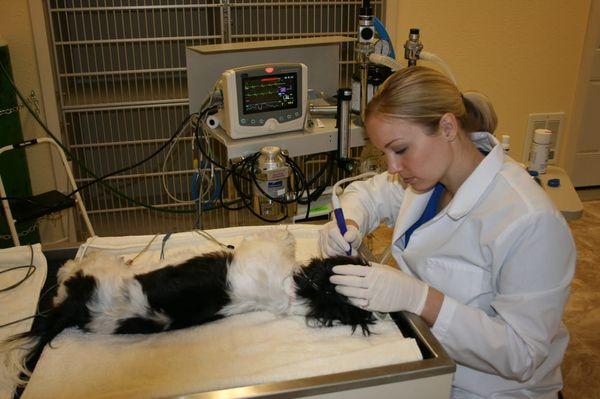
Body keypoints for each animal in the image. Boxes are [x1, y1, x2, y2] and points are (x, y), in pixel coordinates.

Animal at [1, 231, 376, 384]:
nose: (361, 255)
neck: (295, 292)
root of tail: (80, 309)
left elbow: (278, 237)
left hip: (96, 272)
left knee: (72, 272)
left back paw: (69, 268)